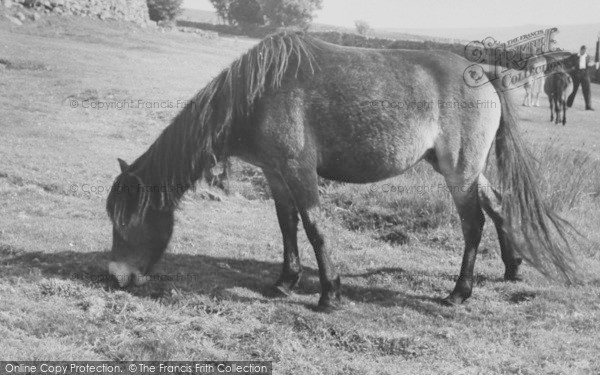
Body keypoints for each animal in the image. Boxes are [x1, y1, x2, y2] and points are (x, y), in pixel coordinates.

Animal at [106, 30, 576, 312]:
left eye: (127, 221)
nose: (116, 276)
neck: (257, 94)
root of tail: (484, 72)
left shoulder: (299, 171)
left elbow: (314, 228)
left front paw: (329, 293)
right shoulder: (276, 174)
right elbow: (287, 225)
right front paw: (285, 281)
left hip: (459, 172)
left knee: (474, 223)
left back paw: (460, 292)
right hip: (464, 169)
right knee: (498, 203)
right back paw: (512, 267)